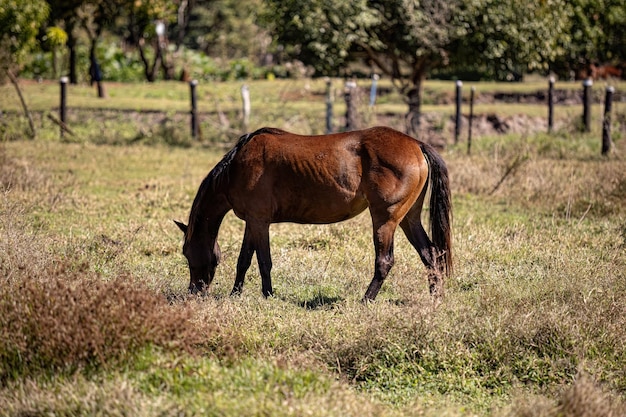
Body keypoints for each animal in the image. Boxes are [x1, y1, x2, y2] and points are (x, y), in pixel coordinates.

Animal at [173, 125, 450, 300]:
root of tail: (417, 144)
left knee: (385, 261)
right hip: (409, 219)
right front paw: (235, 294)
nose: (194, 291)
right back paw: (435, 298)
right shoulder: (253, 223)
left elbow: (263, 261)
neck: (236, 168)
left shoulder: (259, 222)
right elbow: (244, 260)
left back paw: (366, 300)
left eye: (187, 252)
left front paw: (268, 295)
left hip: (385, 219)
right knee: (431, 255)